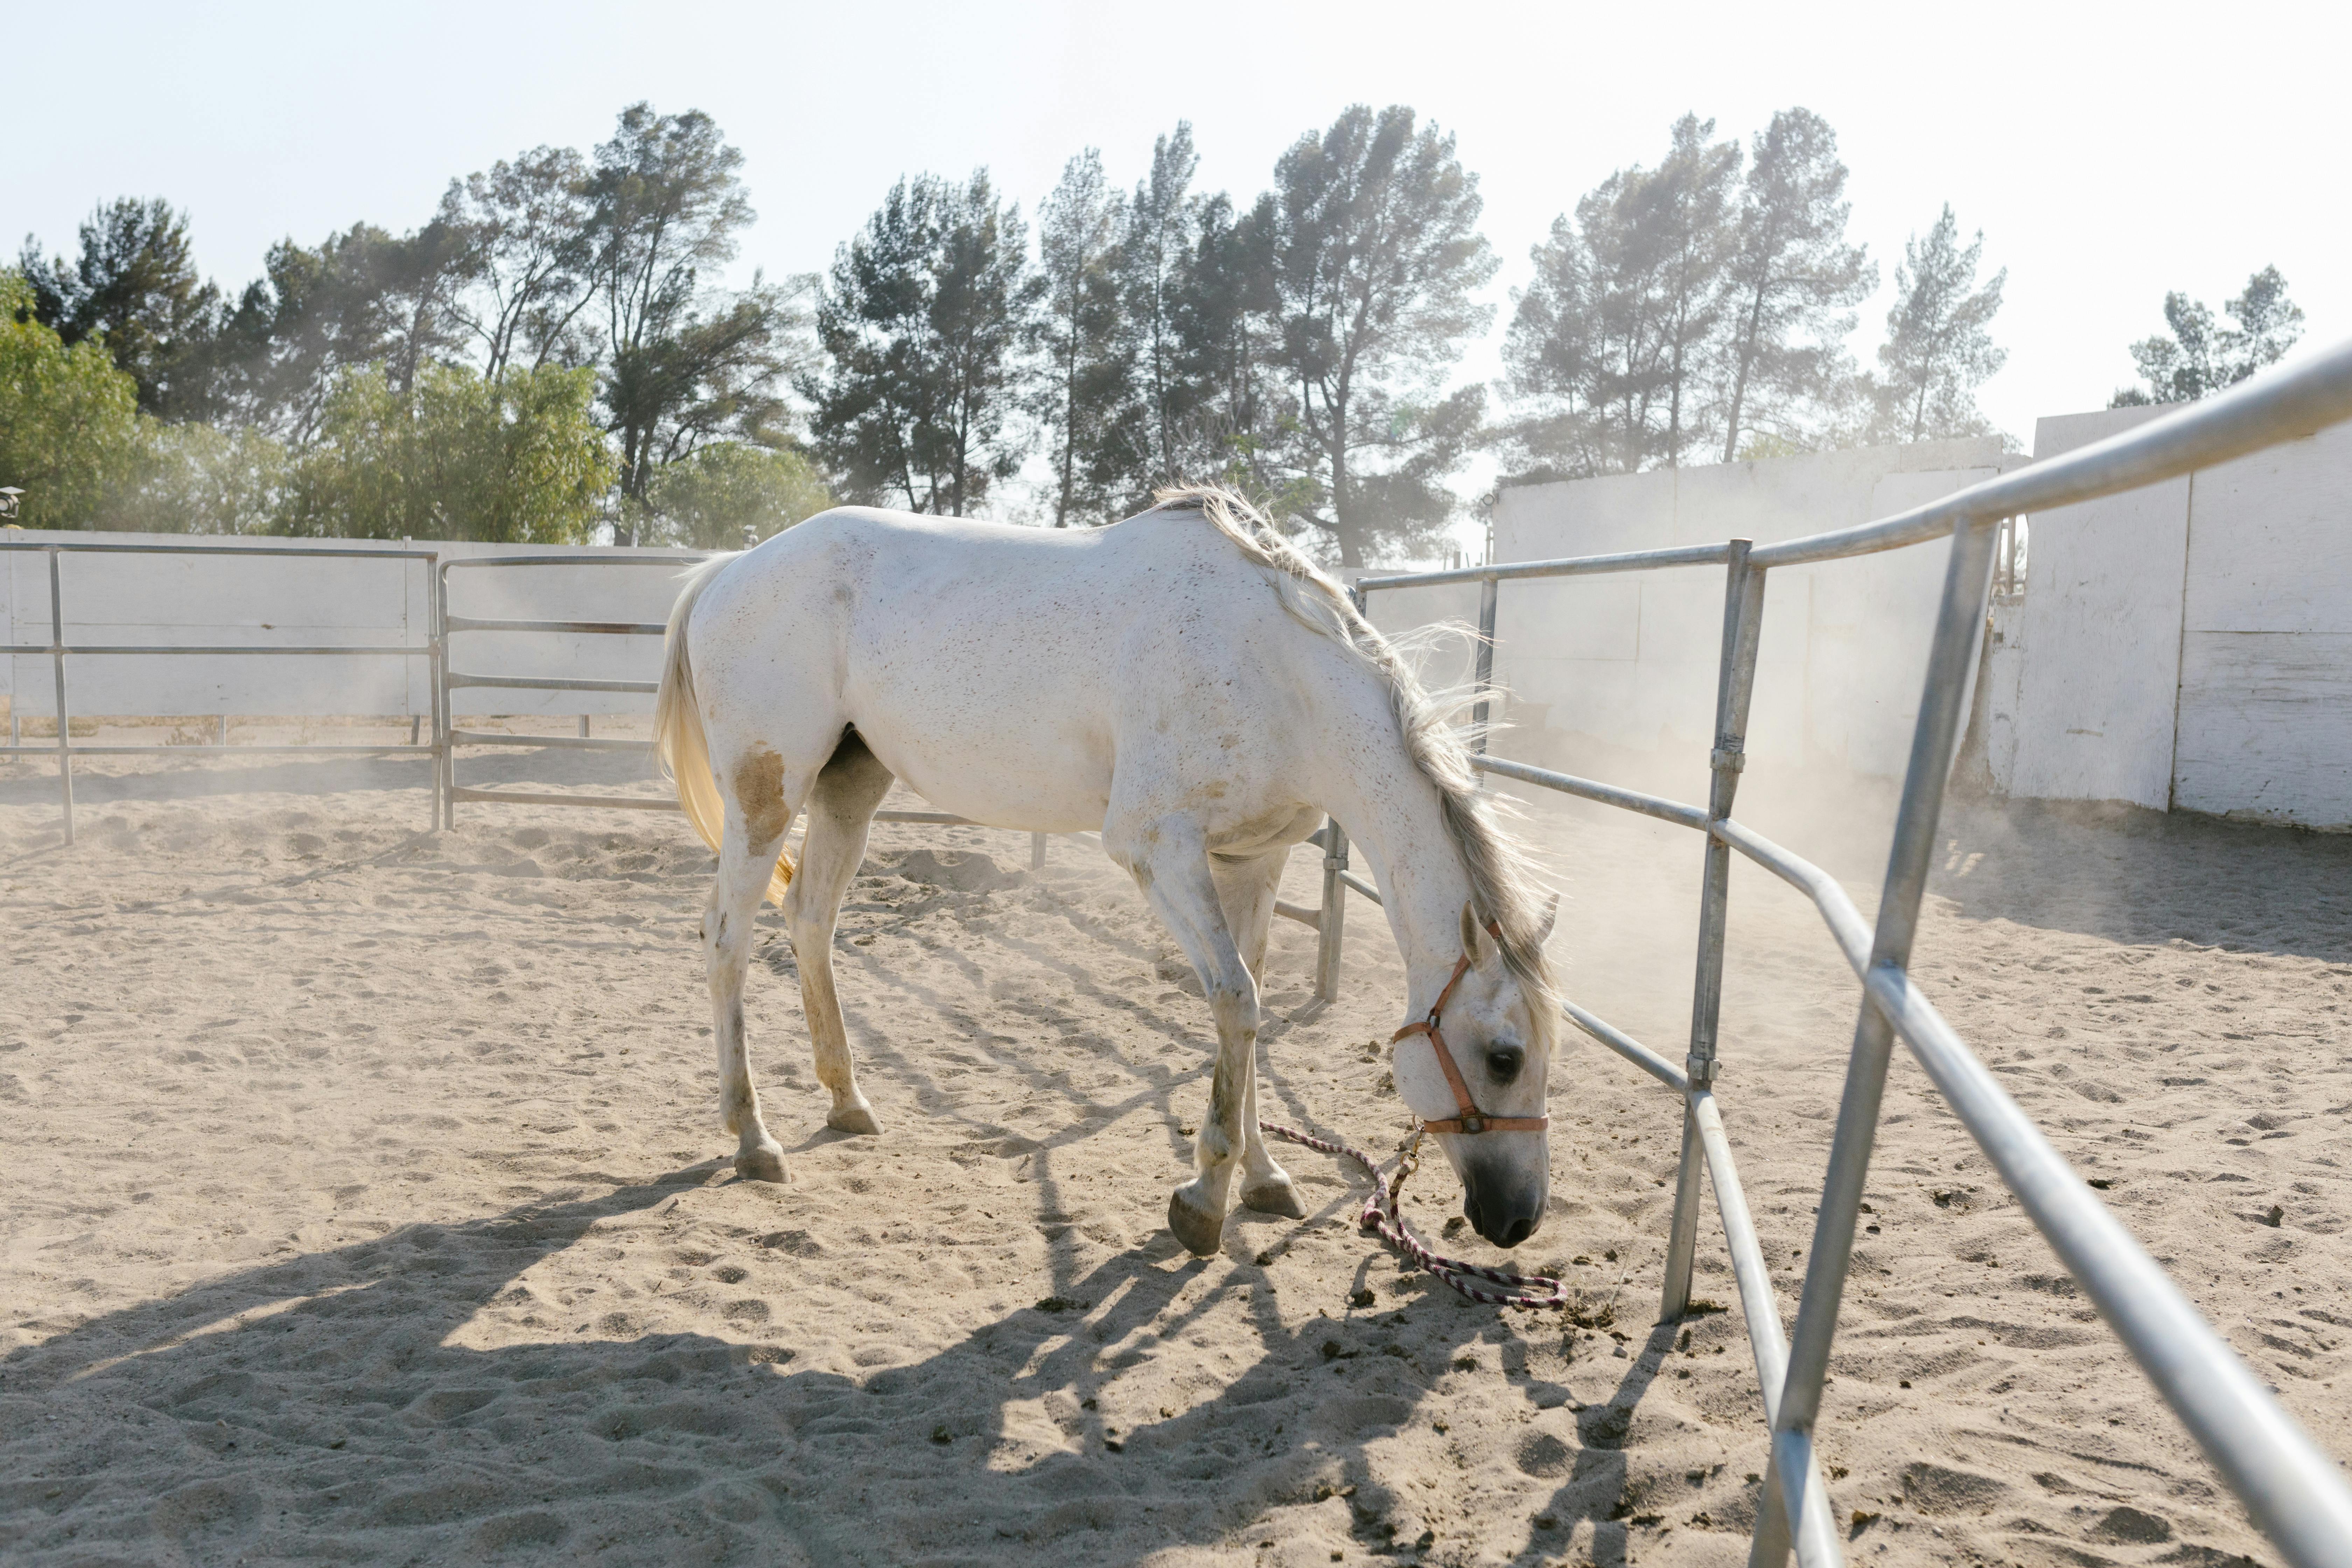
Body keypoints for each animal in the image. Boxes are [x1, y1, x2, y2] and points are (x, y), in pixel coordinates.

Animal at [652, 486, 1564, 1255]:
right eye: (1504, 1056)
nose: (1518, 1220)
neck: (1278, 674)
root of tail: (729, 570)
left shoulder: (1254, 860)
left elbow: (1250, 1008)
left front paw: (1264, 1177)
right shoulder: (1156, 848)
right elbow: (1237, 1002)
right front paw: (1203, 1201)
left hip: (851, 784)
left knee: (810, 920)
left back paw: (847, 1103)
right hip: (766, 795)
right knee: (726, 938)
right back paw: (753, 1137)